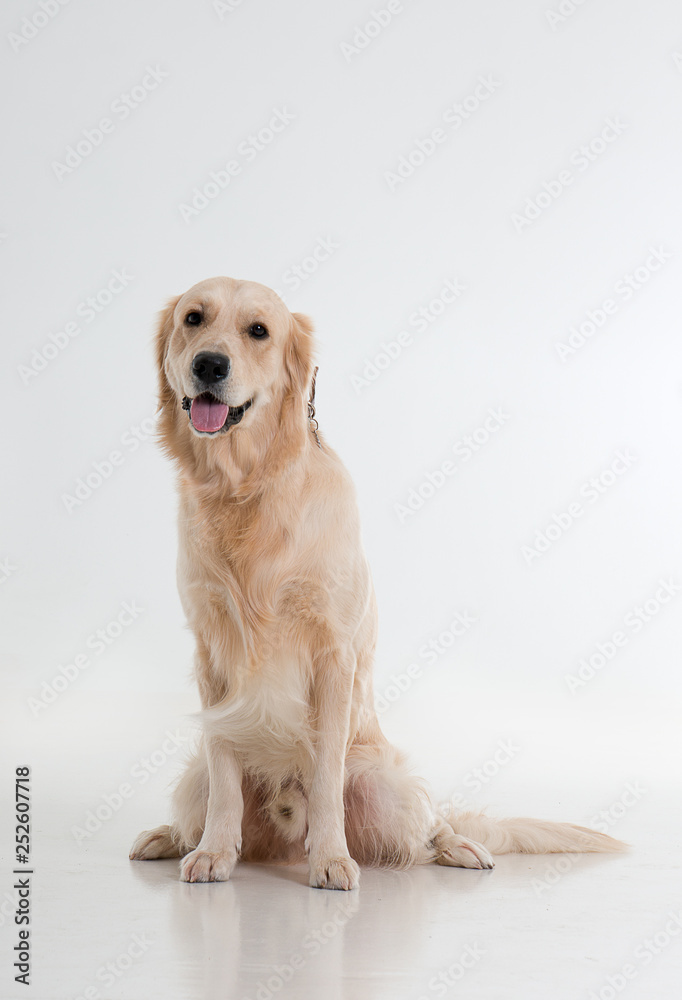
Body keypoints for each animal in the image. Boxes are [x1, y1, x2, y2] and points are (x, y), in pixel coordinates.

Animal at [130, 276, 624, 892]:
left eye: (258, 330)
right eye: (193, 319)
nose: (209, 364)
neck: (249, 489)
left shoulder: (332, 653)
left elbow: (324, 777)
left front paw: (330, 858)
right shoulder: (213, 653)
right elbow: (225, 769)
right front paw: (214, 850)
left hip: (382, 782)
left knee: (427, 827)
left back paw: (459, 846)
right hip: (192, 778)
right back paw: (168, 838)